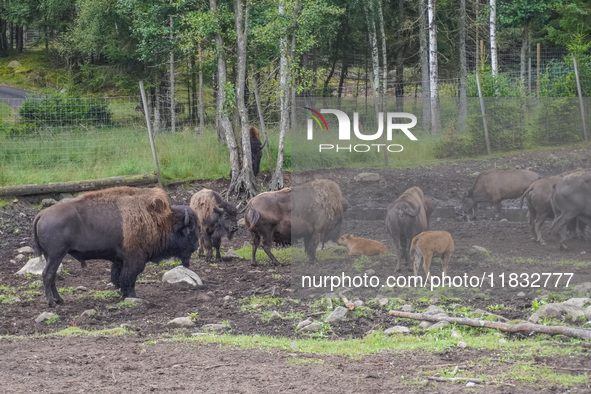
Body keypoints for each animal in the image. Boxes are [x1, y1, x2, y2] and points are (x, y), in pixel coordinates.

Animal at [32, 186, 199, 306]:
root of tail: (41, 215)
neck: (161, 220)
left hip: (52, 256)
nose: (197, 246)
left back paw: (59, 300)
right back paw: (52, 303)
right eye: (190, 230)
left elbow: (118, 278)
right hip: (56, 255)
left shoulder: (119, 260)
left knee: (52, 276)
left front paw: (122, 294)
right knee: (47, 275)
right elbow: (129, 279)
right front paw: (132, 296)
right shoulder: (134, 260)